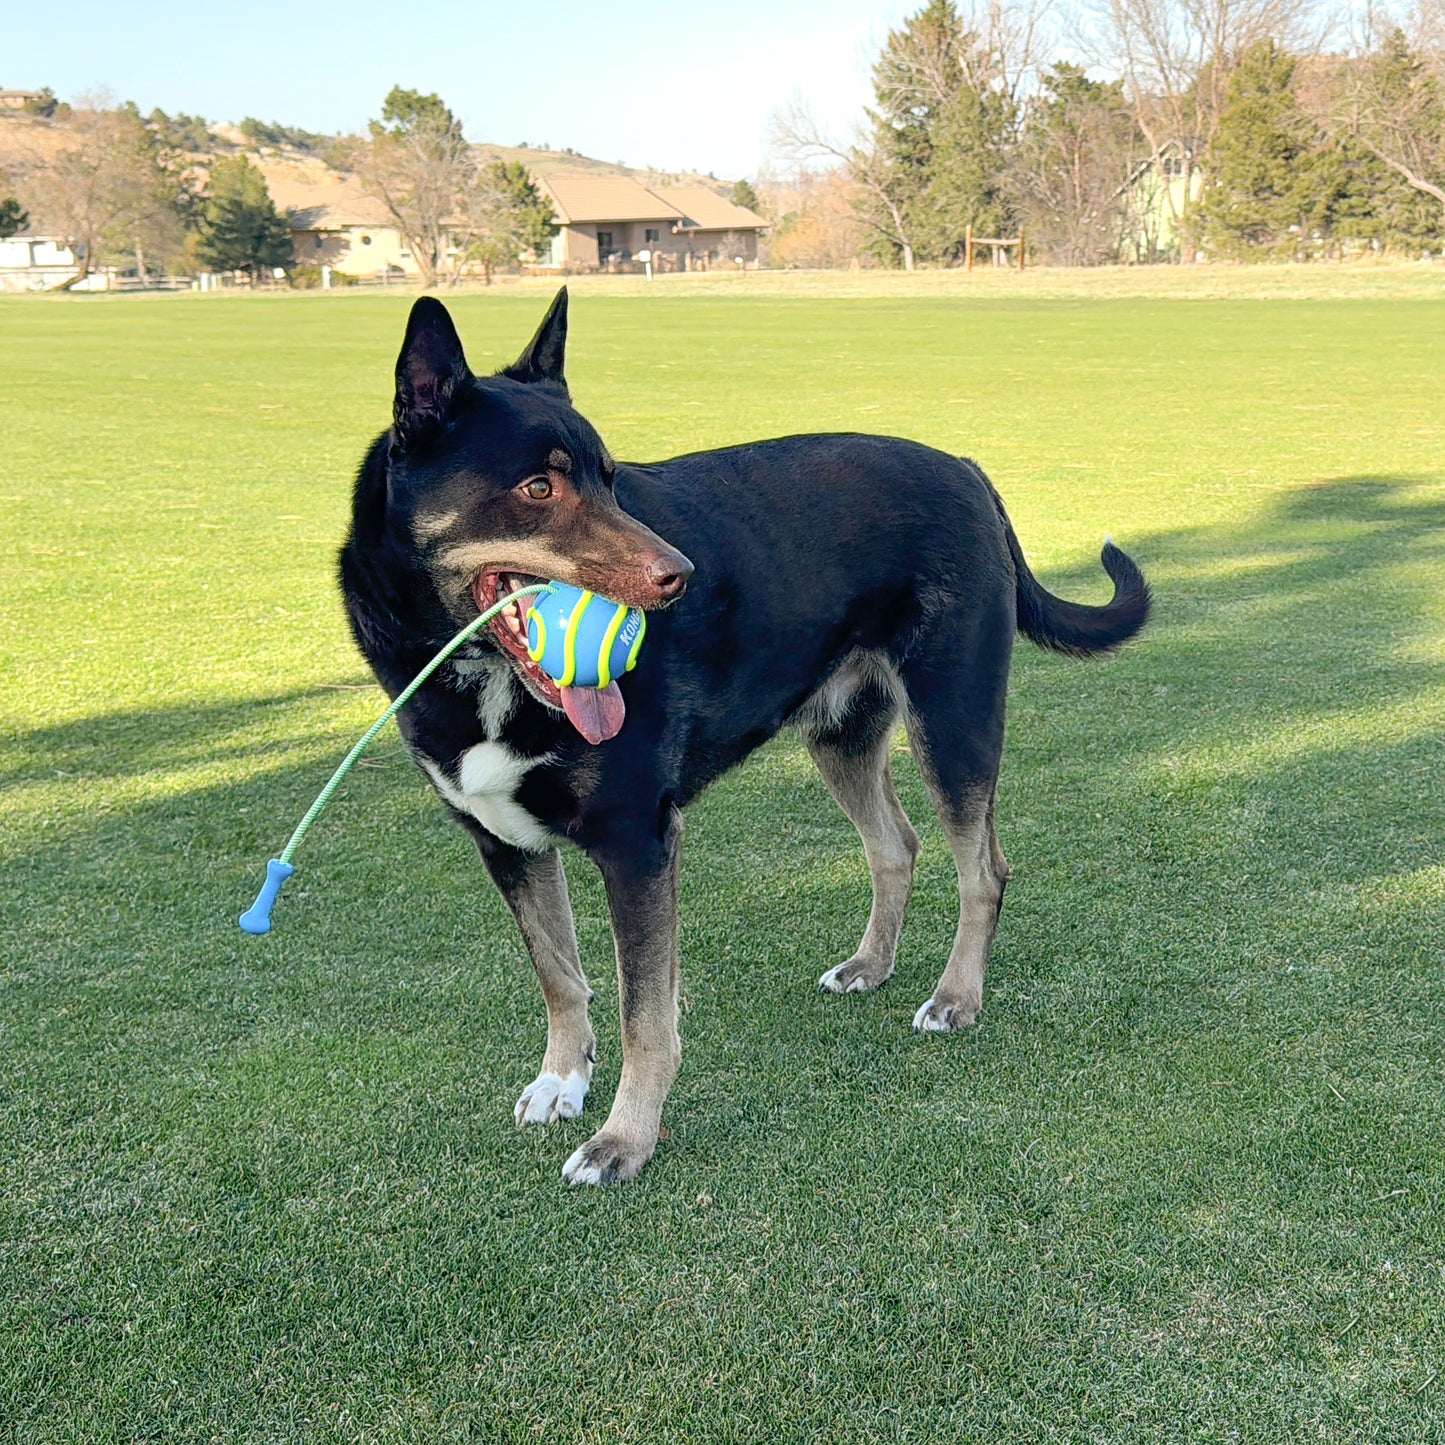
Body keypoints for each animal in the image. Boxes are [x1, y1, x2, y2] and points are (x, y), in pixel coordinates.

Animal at [338, 293, 1150, 1184]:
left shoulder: (637, 841)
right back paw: (871, 964)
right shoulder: (505, 844)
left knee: (983, 869)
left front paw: (624, 1138)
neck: (478, 675)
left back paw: (955, 997)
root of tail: (968, 469)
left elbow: (645, 1013)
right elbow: (560, 975)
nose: (681, 576)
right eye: (539, 486)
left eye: (611, 478)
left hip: (954, 714)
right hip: (842, 733)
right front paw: (561, 1080)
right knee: (894, 844)